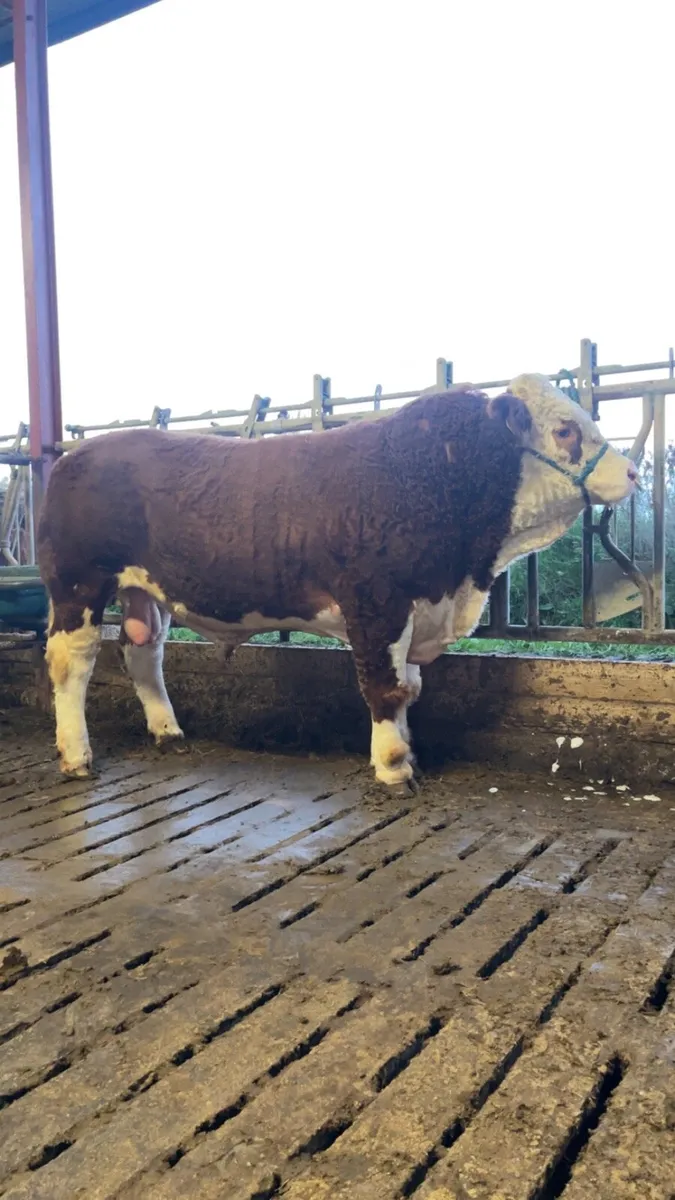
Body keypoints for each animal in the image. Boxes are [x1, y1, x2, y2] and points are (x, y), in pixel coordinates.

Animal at [37, 374, 637, 785]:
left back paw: (169, 732)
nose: (632, 472)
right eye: (565, 430)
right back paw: (76, 755)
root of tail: (72, 458)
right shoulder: (376, 603)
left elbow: (410, 687)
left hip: (145, 593)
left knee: (142, 654)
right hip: (78, 584)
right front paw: (394, 766)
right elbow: (385, 687)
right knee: (72, 663)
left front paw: (408, 753)